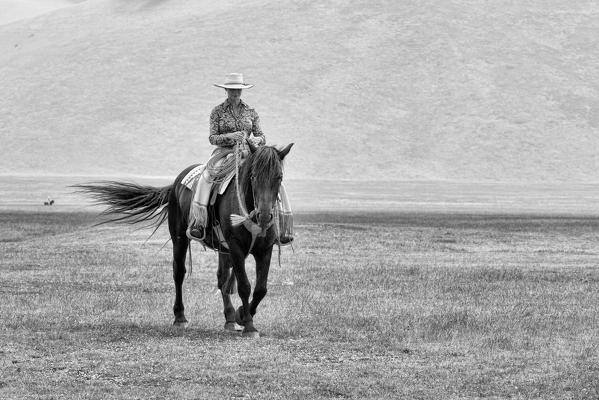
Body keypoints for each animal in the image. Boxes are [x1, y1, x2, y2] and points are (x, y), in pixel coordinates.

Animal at [76, 142, 294, 336]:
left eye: (279, 177)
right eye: (253, 176)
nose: (264, 216)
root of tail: (175, 184)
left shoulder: (264, 250)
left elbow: (260, 289)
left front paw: (242, 315)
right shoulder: (236, 248)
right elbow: (245, 286)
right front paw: (249, 325)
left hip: (222, 249)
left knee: (222, 279)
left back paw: (230, 318)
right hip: (180, 238)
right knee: (179, 273)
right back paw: (180, 317)